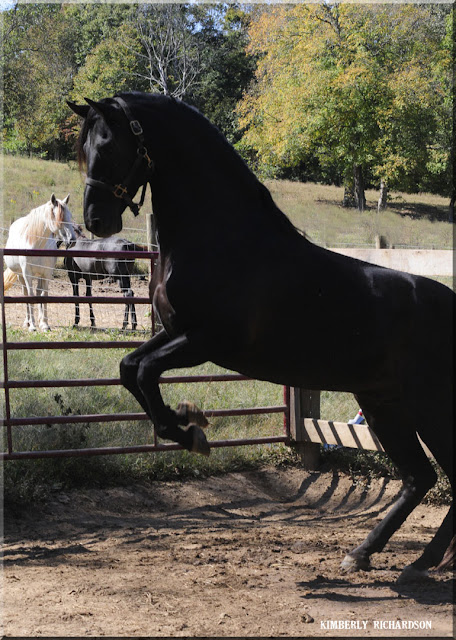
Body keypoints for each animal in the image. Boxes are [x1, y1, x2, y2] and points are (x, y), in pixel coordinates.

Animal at [4, 194, 77, 332]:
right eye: (58, 218)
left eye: (70, 216)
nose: (72, 240)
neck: (37, 244)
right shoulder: (27, 274)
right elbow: (31, 296)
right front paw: (32, 326)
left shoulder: (46, 274)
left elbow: (43, 295)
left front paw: (44, 324)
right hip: (20, 276)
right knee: (25, 293)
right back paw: (27, 321)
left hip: (39, 275)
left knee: (38, 291)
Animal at [67, 92, 452, 584]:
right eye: (85, 148)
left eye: (110, 145)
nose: (96, 220)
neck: (222, 239)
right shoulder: (176, 333)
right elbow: (129, 368)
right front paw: (186, 422)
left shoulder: (207, 341)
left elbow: (147, 371)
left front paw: (191, 429)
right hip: (385, 404)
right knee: (419, 478)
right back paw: (372, 555)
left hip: (430, 406)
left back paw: (419, 564)